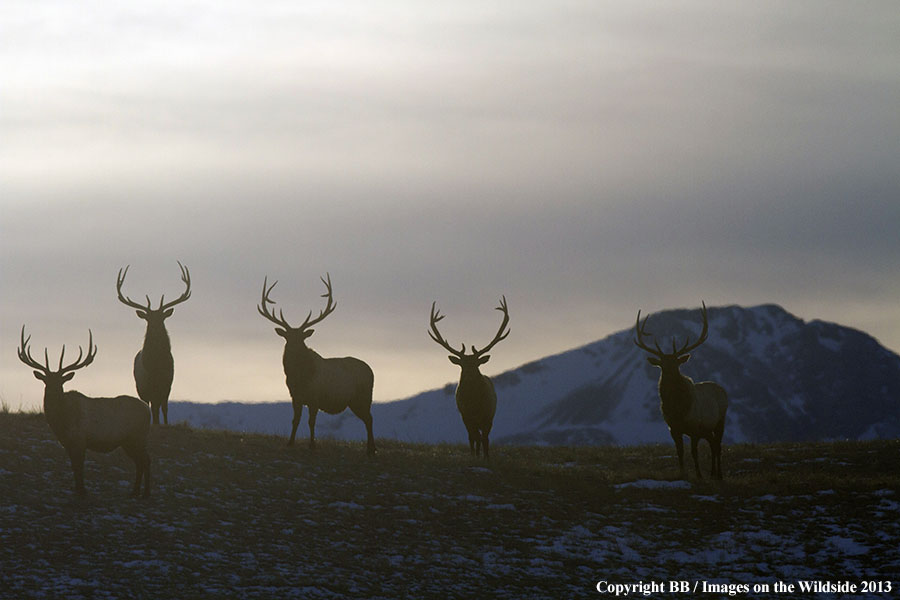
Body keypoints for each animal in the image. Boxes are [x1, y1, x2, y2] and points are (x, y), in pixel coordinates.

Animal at [17, 326, 151, 497]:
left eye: (61, 382)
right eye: (46, 381)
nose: (53, 393)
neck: (61, 422)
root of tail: (148, 410)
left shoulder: (80, 439)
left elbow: (79, 465)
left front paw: (82, 491)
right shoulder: (67, 443)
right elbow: (74, 466)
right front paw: (77, 489)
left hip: (137, 436)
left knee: (146, 460)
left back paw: (145, 493)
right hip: (129, 441)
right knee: (140, 462)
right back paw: (135, 492)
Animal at [116, 261, 192, 425]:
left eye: (162, 318)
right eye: (148, 319)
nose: (156, 328)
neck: (156, 366)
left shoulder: (167, 384)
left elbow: (165, 408)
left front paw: (166, 424)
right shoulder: (147, 385)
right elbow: (153, 409)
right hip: (140, 387)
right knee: (150, 406)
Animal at [257, 273, 376, 455]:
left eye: (302, 338)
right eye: (287, 337)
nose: (293, 348)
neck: (300, 377)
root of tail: (372, 372)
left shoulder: (315, 398)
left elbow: (311, 422)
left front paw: (312, 444)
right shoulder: (295, 397)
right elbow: (295, 420)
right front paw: (290, 442)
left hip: (363, 397)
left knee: (369, 419)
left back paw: (371, 449)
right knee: (369, 418)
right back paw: (372, 448)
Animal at [428, 296, 510, 459]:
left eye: (476, 364)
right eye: (462, 365)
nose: (470, 376)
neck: (474, 403)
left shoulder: (488, 415)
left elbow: (485, 438)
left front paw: (486, 458)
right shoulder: (465, 416)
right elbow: (472, 437)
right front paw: (475, 456)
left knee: (482, 437)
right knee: (474, 437)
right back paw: (475, 454)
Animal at [633, 302, 728, 480]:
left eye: (676, 364)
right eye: (662, 365)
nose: (669, 377)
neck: (678, 409)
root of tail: (723, 390)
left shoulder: (694, 427)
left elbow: (694, 452)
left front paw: (699, 475)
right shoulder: (673, 429)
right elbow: (680, 452)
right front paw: (683, 473)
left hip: (720, 420)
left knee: (718, 445)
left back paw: (719, 474)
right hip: (707, 429)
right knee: (712, 444)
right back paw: (712, 473)